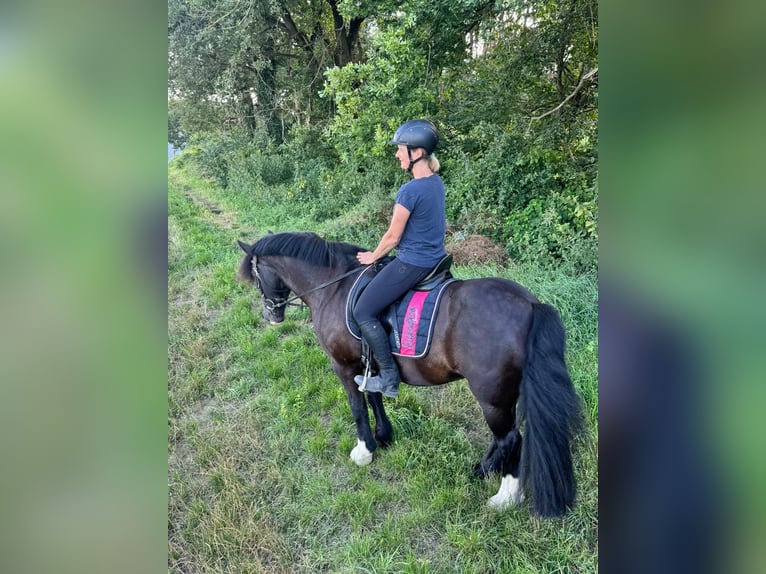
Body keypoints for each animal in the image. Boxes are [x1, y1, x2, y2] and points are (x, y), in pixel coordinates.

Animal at [236, 232, 584, 520]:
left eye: (256, 275)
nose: (270, 314)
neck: (334, 286)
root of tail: (530, 303)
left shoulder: (343, 366)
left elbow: (357, 407)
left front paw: (364, 451)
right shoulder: (370, 364)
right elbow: (375, 397)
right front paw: (384, 437)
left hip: (491, 397)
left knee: (510, 438)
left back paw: (505, 496)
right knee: (504, 437)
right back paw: (482, 469)